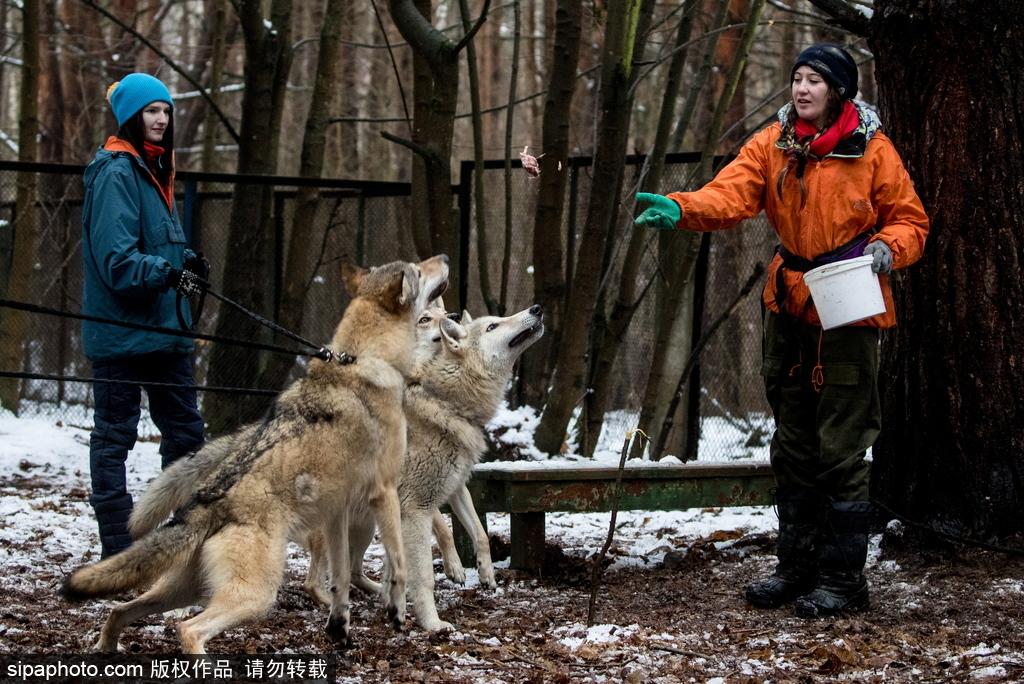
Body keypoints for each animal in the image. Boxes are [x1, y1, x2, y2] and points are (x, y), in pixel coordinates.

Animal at [58, 254, 450, 651]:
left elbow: (339, 579)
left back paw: (108, 651)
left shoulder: (337, 513)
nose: (445, 258)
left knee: (118, 611)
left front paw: (339, 627)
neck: (362, 359)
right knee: (188, 629)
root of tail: (204, 507)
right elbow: (398, 564)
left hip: (182, 591)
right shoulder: (384, 492)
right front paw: (396, 612)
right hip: (255, 597)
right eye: (419, 270)